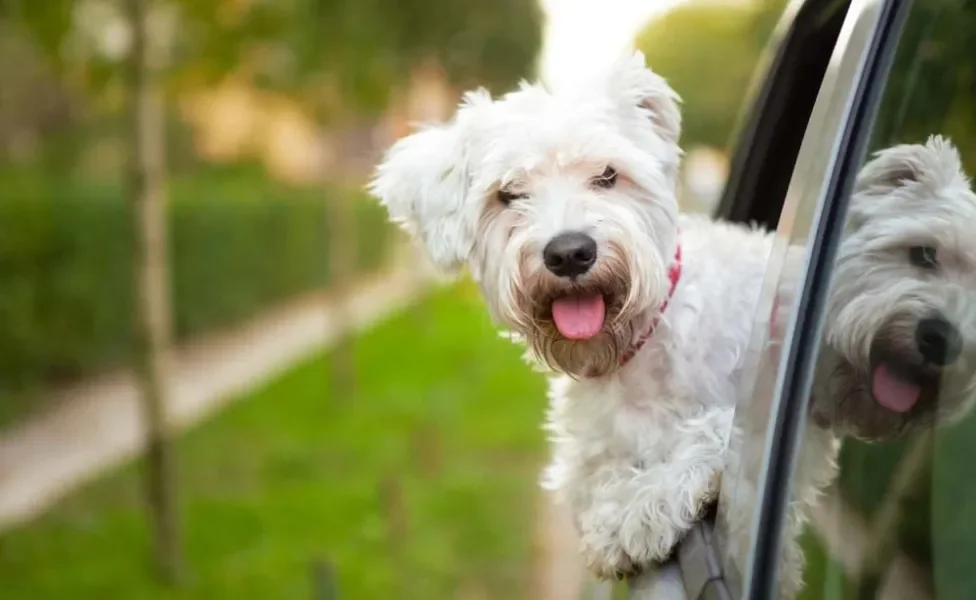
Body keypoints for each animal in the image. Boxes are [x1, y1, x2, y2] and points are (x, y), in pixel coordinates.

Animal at [370, 51, 772, 592]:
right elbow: (597, 477)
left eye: (607, 174)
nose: (569, 253)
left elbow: (713, 430)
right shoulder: (585, 460)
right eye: (509, 193)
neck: (636, 352)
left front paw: (639, 511)